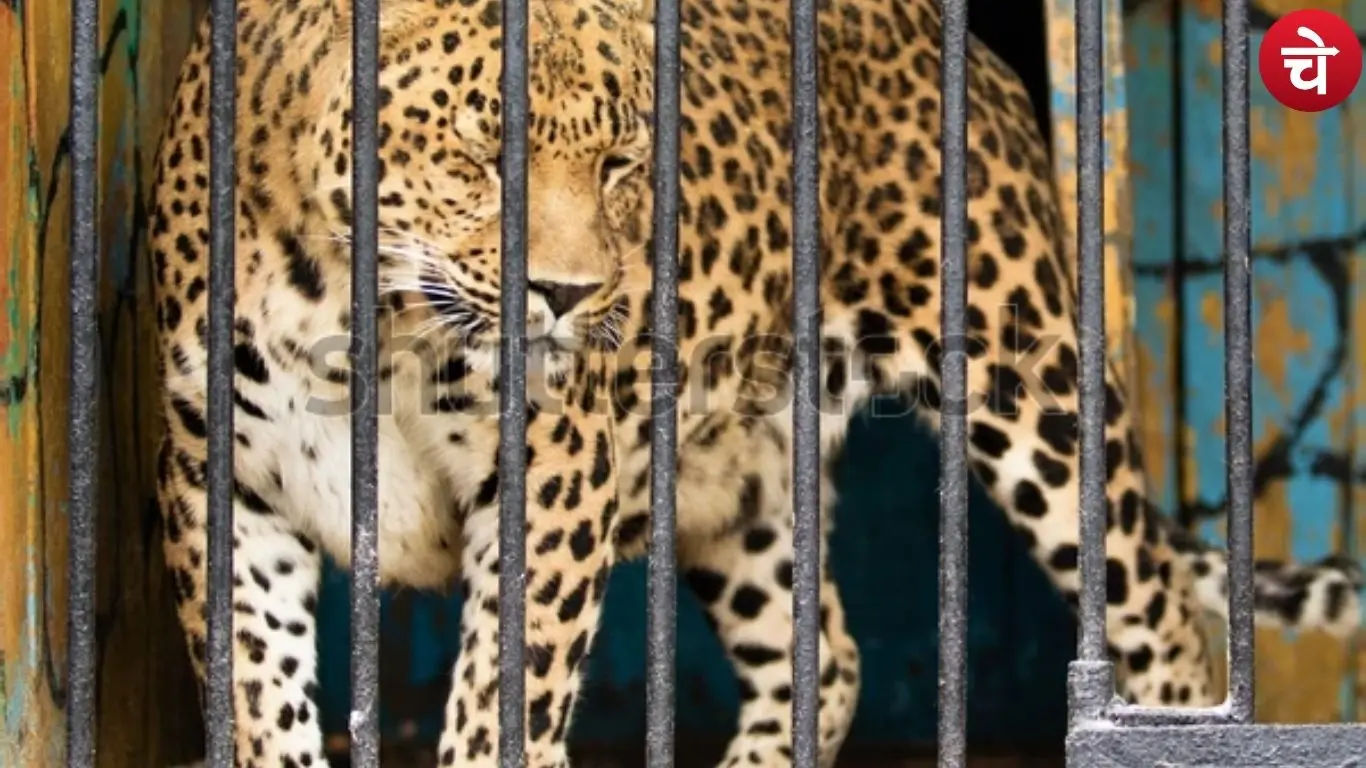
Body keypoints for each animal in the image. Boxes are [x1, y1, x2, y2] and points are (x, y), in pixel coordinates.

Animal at [147, 0, 1364, 764]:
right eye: (483, 152)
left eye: (622, 162)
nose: (570, 295)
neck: (373, 323)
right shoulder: (223, 491)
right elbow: (259, 702)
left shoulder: (551, 478)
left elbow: (503, 699)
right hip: (735, 488)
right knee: (825, 656)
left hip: (1028, 386)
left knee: (1160, 620)